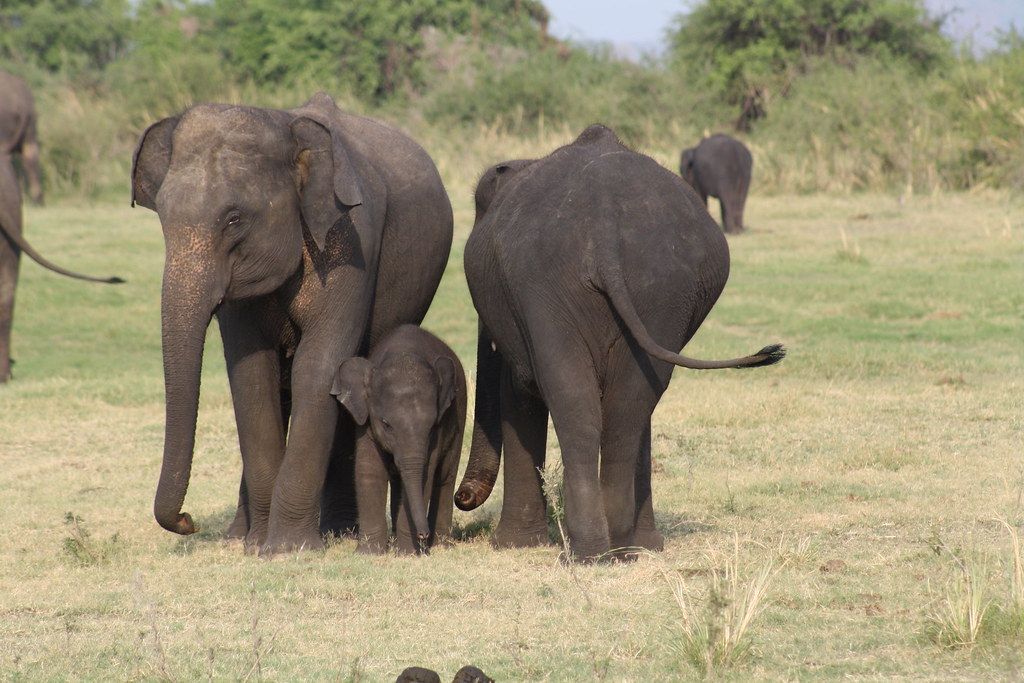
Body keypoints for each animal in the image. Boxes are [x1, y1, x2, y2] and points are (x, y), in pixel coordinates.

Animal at [331, 324, 466, 555]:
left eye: (432, 426)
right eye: (386, 424)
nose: (423, 534)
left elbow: (425, 475)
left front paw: (407, 554)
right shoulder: (366, 422)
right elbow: (370, 470)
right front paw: (368, 553)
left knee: (445, 477)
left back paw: (440, 545)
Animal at [455, 125, 784, 562]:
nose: (461, 499)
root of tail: (604, 230)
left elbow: (519, 391)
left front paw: (511, 546)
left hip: (564, 285)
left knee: (584, 405)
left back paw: (592, 552)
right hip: (656, 289)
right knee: (625, 406)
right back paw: (615, 549)